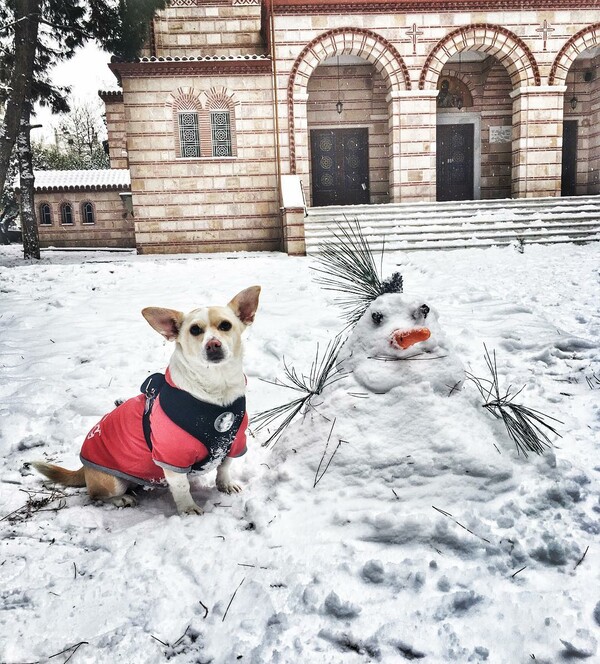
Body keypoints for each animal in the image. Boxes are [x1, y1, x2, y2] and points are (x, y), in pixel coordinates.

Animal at [33, 286, 260, 512]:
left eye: (225, 325)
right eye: (195, 330)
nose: (213, 344)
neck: (216, 386)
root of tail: (84, 468)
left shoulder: (234, 441)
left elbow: (224, 467)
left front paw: (225, 485)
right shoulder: (171, 456)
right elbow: (181, 487)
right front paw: (188, 509)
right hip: (112, 482)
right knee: (95, 495)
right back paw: (121, 499)